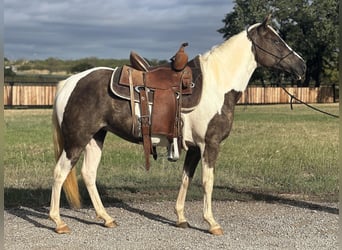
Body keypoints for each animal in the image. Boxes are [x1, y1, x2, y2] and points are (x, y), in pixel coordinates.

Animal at [48, 15, 308, 234]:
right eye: (274, 40)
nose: (302, 65)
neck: (216, 84)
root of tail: (69, 83)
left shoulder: (193, 148)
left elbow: (186, 179)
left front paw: (181, 218)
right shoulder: (210, 145)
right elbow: (207, 182)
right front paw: (212, 223)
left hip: (96, 137)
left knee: (88, 174)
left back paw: (106, 218)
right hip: (77, 140)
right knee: (60, 172)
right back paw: (58, 222)